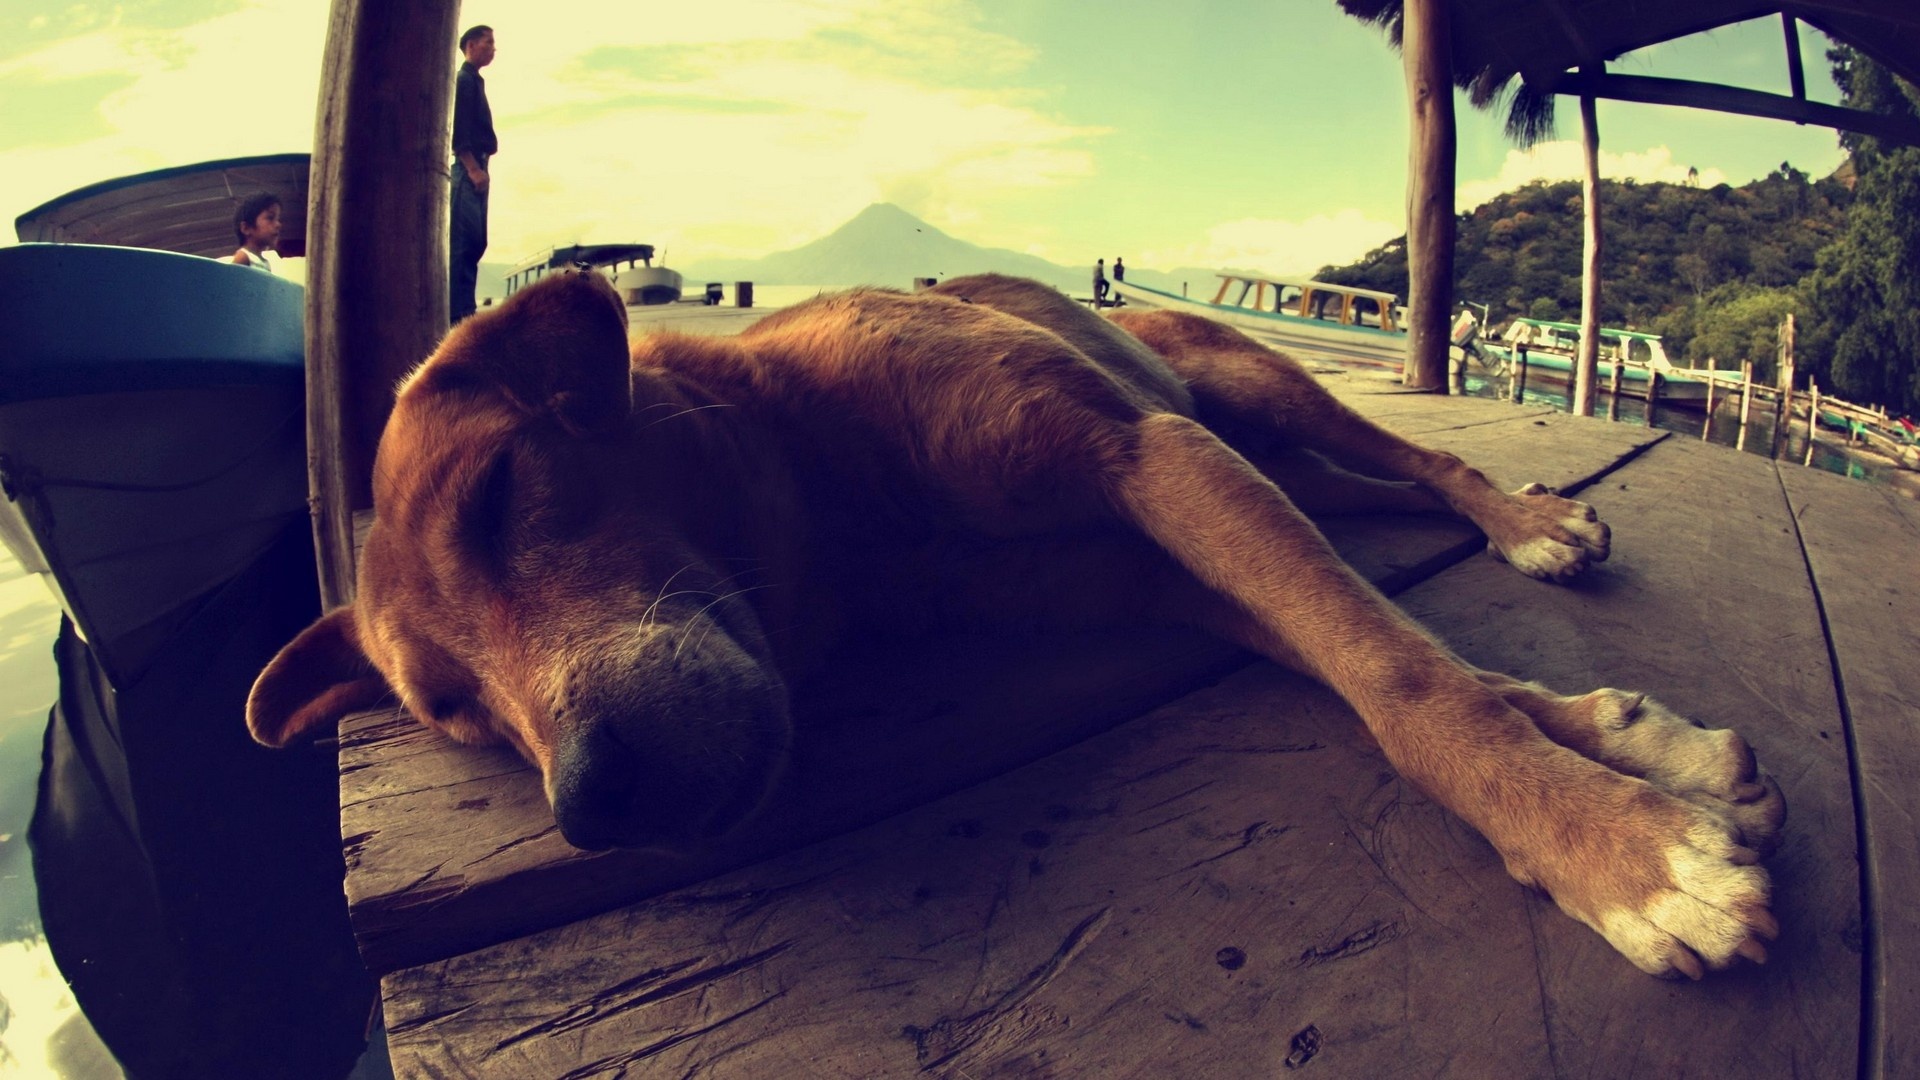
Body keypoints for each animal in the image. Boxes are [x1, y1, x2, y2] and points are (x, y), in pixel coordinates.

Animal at [243, 267, 1781, 976]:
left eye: (501, 494)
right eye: (450, 710)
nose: (596, 802)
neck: (840, 512)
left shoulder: (1152, 459)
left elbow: (1407, 683)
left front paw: (1618, 853)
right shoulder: (1164, 570)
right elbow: (1386, 657)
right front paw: (1637, 757)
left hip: (1245, 390)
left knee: (1419, 464)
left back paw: (1529, 520)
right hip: (1262, 458)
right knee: (1370, 506)